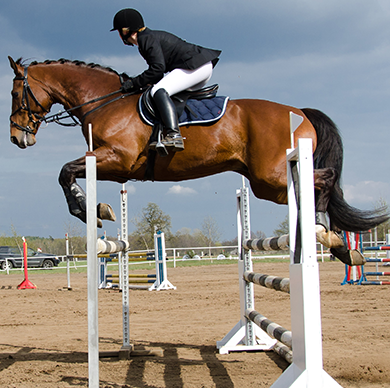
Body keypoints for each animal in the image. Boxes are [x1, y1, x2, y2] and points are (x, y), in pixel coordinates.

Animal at [8, 56, 386, 266]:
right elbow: (68, 173)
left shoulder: (117, 159)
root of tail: (300, 112)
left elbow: (64, 172)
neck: (103, 101)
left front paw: (91, 210)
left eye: (14, 93)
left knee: (325, 178)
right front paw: (98, 209)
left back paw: (324, 231)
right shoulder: (112, 166)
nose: (16, 138)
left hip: (271, 178)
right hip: (269, 183)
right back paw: (340, 246)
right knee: (320, 184)